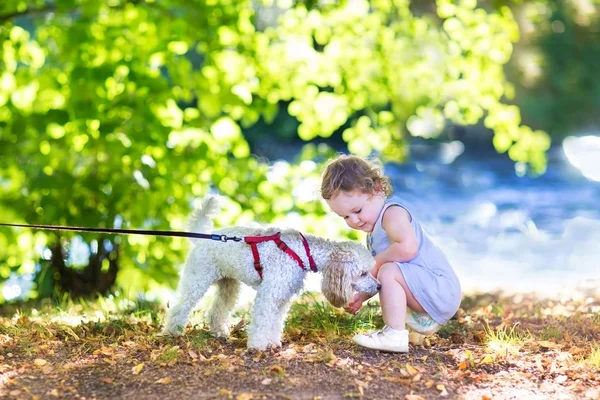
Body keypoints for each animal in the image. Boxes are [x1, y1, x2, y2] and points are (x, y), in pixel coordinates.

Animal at [163, 195, 380, 348]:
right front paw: (257, 346)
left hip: (229, 286)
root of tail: (202, 238)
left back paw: (220, 333)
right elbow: (262, 321)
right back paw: (172, 333)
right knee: (179, 308)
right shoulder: (269, 295)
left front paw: (273, 343)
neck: (302, 251)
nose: (379, 286)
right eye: (362, 273)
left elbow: (275, 322)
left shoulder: (282, 298)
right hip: (197, 281)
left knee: (217, 311)